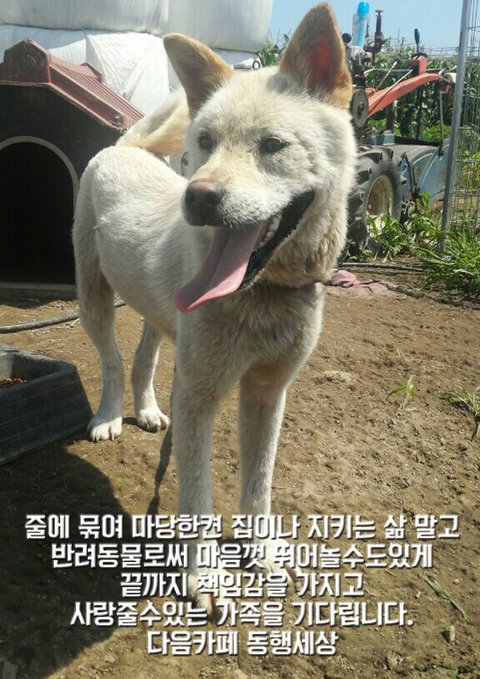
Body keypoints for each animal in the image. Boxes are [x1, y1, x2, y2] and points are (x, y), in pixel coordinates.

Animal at [72, 3, 356, 612]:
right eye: (204, 140)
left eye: (273, 145)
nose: (198, 196)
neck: (262, 294)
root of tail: (123, 148)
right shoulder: (200, 400)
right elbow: (197, 495)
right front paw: (204, 577)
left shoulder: (269, 392)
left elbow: (259, 482)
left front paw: (261, 552)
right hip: (91, 299)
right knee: (111, 360)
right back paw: (109, 416)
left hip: (163, 319)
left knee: (145, 356)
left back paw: (148, 409)